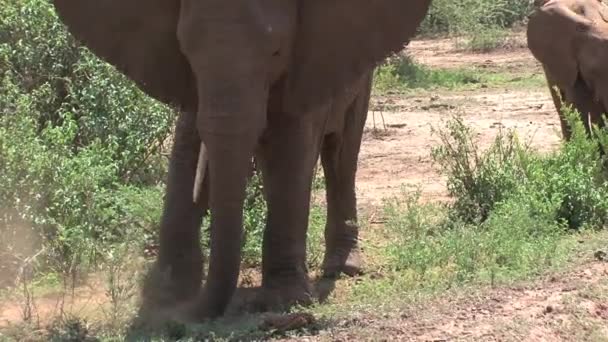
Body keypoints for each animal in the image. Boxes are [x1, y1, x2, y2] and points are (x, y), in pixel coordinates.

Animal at [51, 0, 432, 320]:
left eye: (277, 52)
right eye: (186, 52)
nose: (184, 317)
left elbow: (292, 153)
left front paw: (285, 302)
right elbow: (188, 149)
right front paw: (165, 294)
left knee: (341, 156)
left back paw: (344, 268)